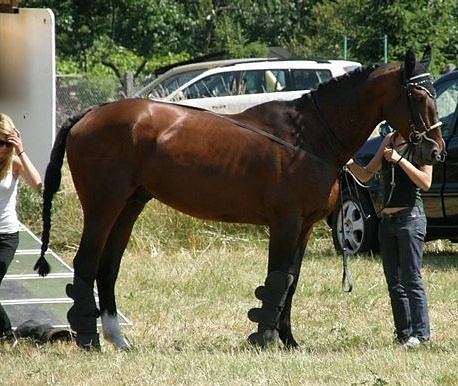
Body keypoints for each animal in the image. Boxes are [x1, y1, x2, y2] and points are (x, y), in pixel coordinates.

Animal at [35, 46, 444, 350]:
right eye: (417, 93)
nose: (435, 151)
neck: (308, 137)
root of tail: (88, 114)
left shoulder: (304, 227)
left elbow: (291, 280)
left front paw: (288, 340)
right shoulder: (285, 223)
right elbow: (278, 278)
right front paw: (265, 339)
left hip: (128, 207)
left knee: (108, 268)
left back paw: (117, 339)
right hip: (103, 207)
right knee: (87, 264)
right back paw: (89, 340)